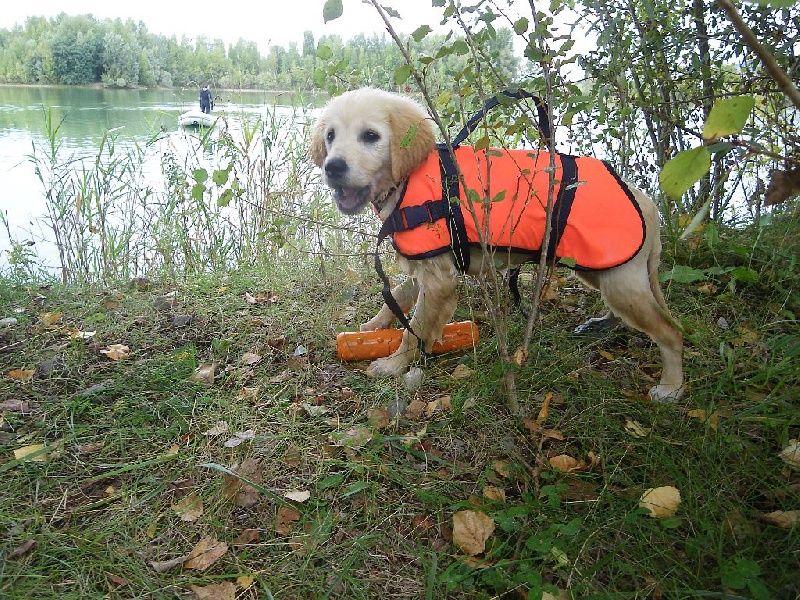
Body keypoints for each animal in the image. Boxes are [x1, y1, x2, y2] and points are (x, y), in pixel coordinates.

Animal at [310, 86, 684, 400]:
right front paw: (373, 327)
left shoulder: (440, 278)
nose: (333, 168)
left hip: (618, 278)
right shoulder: (427, 263)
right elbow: (398, 297)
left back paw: (671, 386)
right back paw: (605, 323)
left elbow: (415, 327)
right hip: (599, 269)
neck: (408, 181)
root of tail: (647, 203)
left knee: (671, 331)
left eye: (370, 136)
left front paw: (393, 365)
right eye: (330, 136)